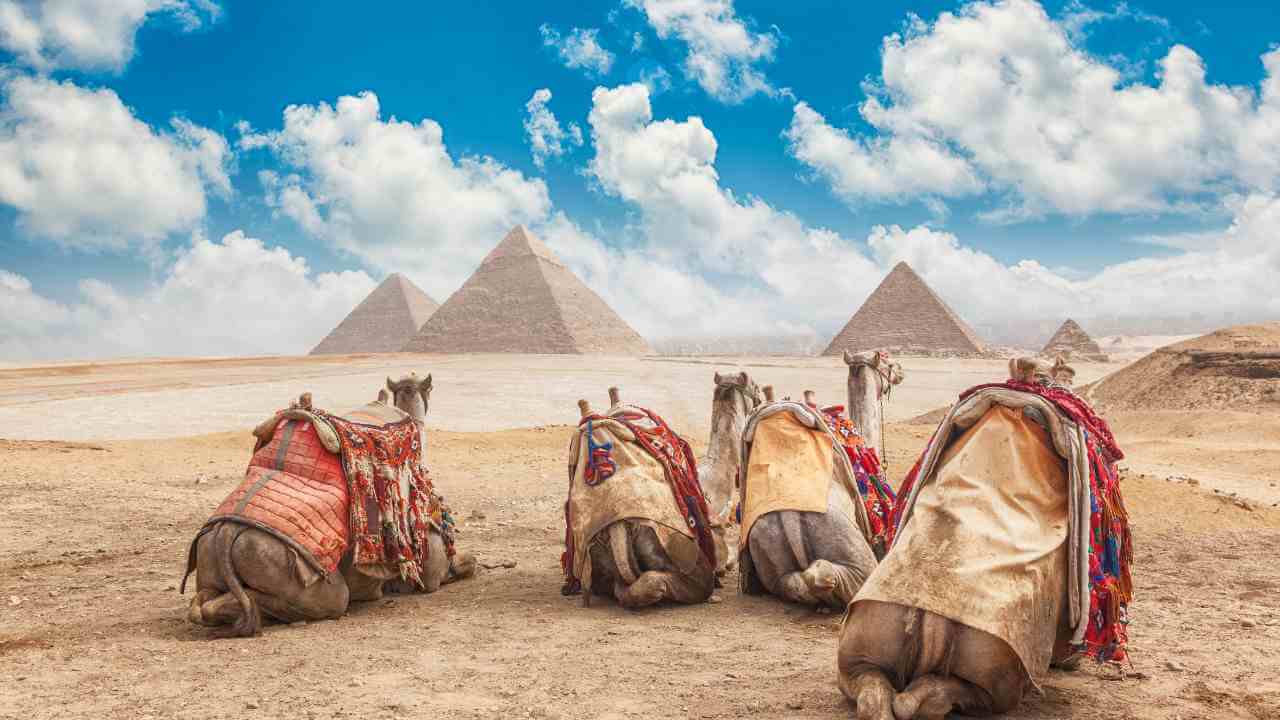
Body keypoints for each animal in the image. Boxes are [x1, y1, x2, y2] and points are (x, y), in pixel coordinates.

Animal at [184, 371, 476, 630]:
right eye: (431, 387)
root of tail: (226, 534)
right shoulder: (430, 571)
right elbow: (467, 564)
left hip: (211, 556)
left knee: (202, 605)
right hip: (290, 568)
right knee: (330, 599)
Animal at [737, 348, 906, 604]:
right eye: (886, 362)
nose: (900, 371)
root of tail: (789, 518)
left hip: (766, 551)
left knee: (793, 582)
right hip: (853, 553)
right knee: (831, 576)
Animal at [834, 356, 1126, 712]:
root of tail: (928, 617)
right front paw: (1070, 661)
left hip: (859, 652)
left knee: (875, 692)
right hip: (995, 676)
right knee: (946, 695)